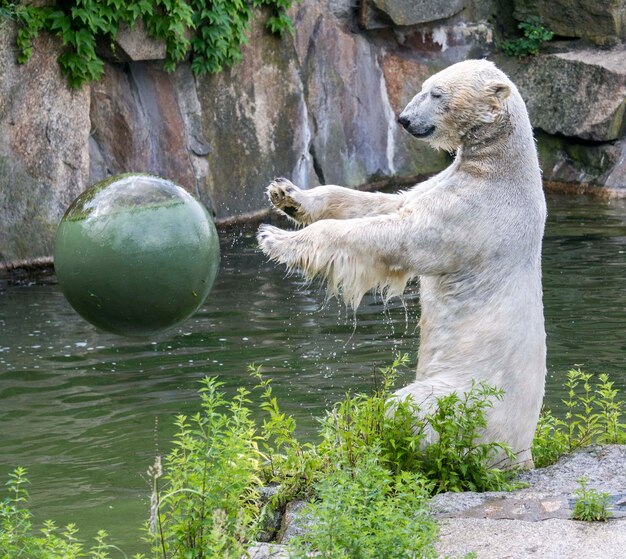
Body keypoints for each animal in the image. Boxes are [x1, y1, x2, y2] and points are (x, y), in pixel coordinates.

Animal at [256, 59, 544, 466]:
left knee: (409, 406)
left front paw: (275, 238)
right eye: (424, 86)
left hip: (468, 399)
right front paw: (288, 194)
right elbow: (389, 202)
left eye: (436, 93)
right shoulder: (445, 183)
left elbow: (399, 235)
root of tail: (521, 453)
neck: (502, 165)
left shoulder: (472, 212)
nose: (405, 119)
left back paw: (370, 435)